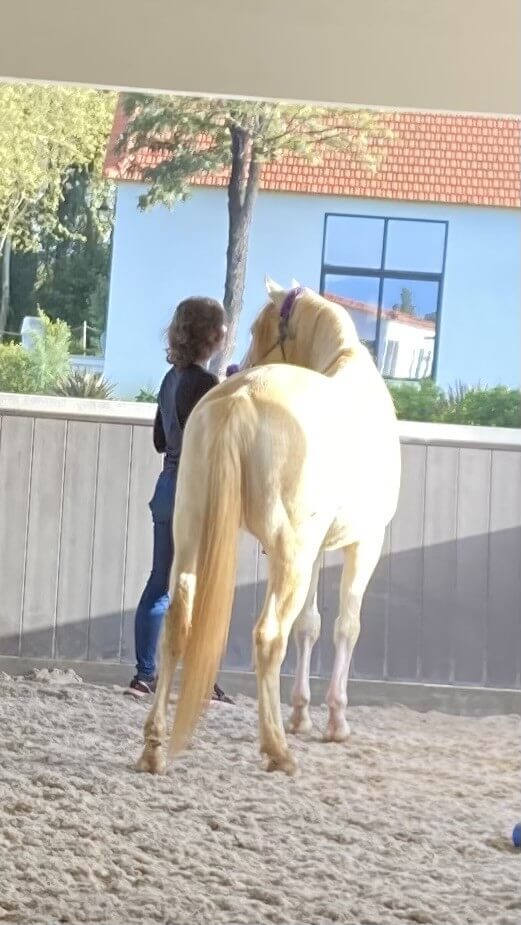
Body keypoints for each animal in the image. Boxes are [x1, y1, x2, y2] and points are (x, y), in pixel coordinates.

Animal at [137, 278, 401, 776]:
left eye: (259, 328)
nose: (239, 364)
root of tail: (243, 396)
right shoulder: (363, 544)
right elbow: (346, 625)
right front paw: (335, 721)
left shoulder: (317, 551)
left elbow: (311, 625)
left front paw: (302, 714)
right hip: (289, 554)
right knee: (269, 636)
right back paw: (277, 750)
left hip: (193, 538)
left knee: (177, 625)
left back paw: (154, 748)